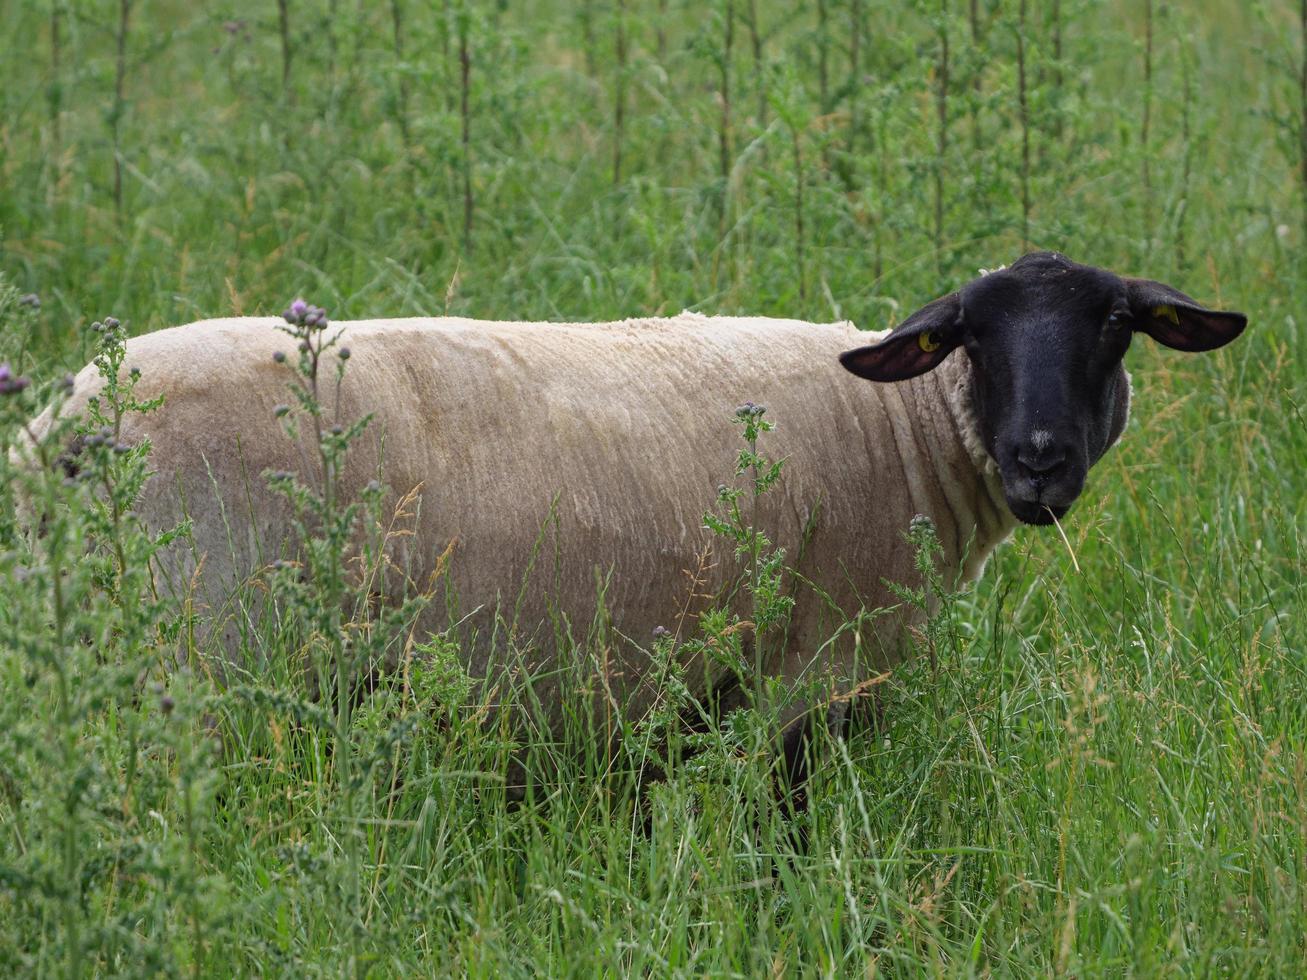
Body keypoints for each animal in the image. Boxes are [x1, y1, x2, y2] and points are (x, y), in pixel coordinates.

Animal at [17, 253, 1244, 773]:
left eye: (1112, 325)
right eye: (973, 337)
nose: (1039, 458)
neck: (906, 429)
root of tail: (62, 430)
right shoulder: (802, 679)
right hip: (205, 654)